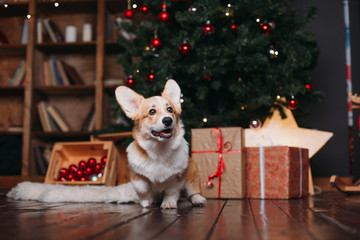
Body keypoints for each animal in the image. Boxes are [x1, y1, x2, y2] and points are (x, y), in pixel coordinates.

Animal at [115, 79, 205, 208]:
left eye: (170, 109)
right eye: (152, 111)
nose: (168, 120)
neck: (159, 149)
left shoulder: (176, 177)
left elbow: (171, 191)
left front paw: (168, 203)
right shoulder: (136, 175)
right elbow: (143, 188)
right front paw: (146, 202)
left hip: (192, 175)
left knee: (193, 192)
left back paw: (198, 200)